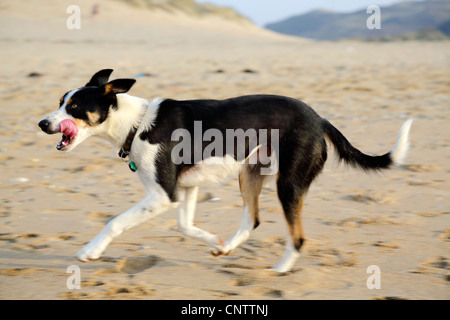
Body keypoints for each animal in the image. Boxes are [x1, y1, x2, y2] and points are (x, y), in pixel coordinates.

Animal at [38, 69, 412, 272]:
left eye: (74, 107)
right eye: (59, 102)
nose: (42, 124)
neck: (137, 123)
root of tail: (319, 119)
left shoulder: (162, 194)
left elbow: (115, 222)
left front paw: (90, 251)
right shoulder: (184, 191)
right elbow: (185, 227)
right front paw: (212, 240)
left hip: (288, 183)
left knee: (298, 236)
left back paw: (278, 270)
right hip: (250, 173)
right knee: (253, 219)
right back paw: (228, 247)